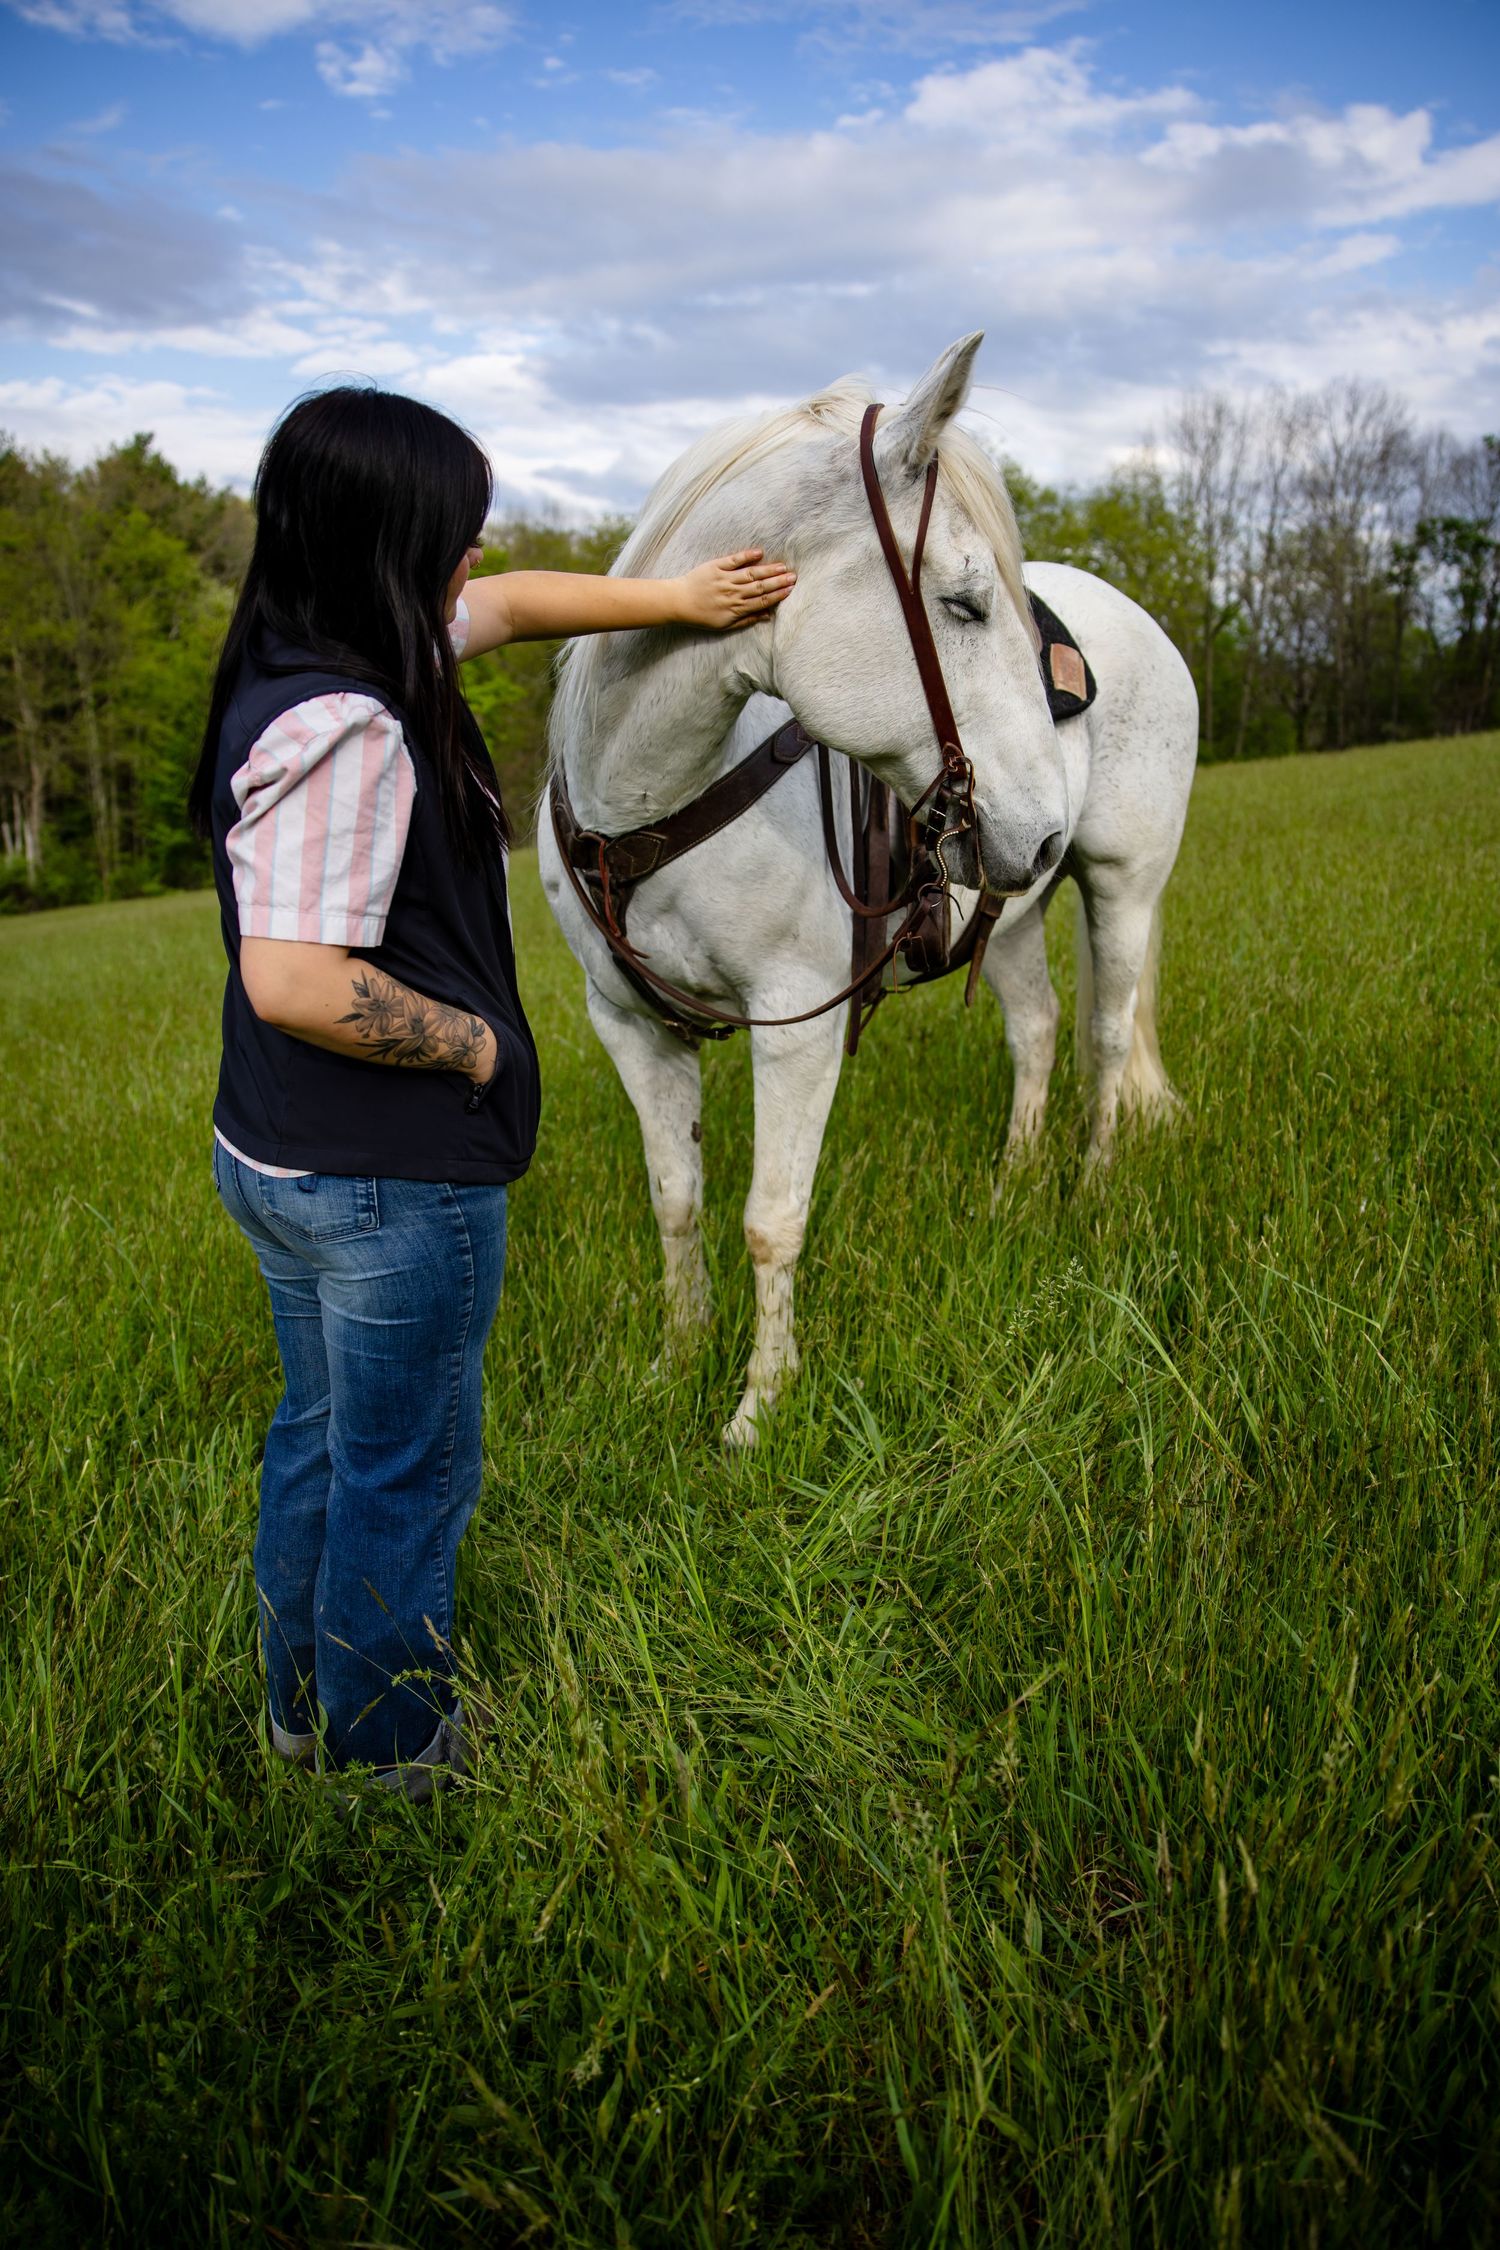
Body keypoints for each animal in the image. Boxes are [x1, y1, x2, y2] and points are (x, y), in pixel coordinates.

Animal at [539, 334, 1198, 1447]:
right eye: (965, 605)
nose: (1041, 825)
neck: (649, 800)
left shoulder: (796, 1023)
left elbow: (770, 1220)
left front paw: (757, 1413)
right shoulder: (629, 1025)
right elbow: (676, 1200)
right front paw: (674, 1368)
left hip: (1121, 886)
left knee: (1108, 1039)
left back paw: (1092, 1190)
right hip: (1007, 914)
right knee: (1038, 1030)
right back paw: (1011, 1191)